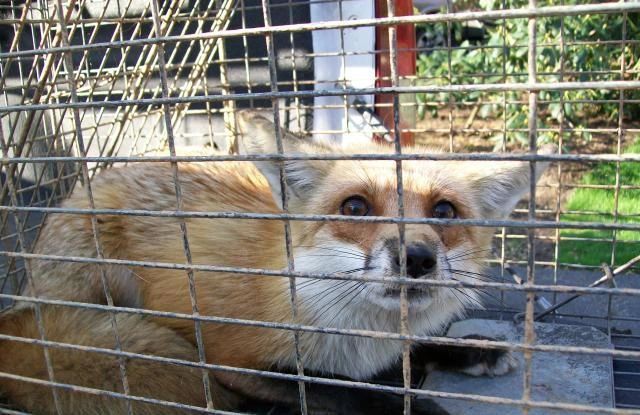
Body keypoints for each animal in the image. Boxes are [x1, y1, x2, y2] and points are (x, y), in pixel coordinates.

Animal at [0, 111, 552, 414]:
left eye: (443, 212)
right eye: (355, 207)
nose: (416, 258)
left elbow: (415, 349)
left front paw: (468, 350)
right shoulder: (230, 356)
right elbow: (337, 391)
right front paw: (409, 404)